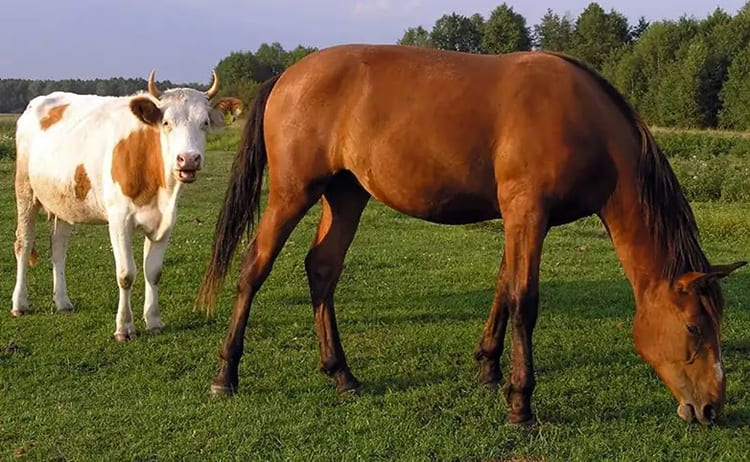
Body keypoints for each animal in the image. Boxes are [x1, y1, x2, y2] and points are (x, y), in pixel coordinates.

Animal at [12, 71, 223, 340]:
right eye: (166, 122)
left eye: (205, 122)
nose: (188, 159)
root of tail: (39, 101)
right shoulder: (119, 221)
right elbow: (126, 274)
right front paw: (124, 327)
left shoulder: (165, 221)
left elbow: (153, 272)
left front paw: (154, 320)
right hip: (25, 190)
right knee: (24, 244)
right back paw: (19, 303)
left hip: (65, 199)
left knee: (58, 247)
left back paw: (62, 301)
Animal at [198, 46, 748, 426]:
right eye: (695, 328)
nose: (711, 409)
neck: (585, 122)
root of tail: (289, 75)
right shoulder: (527, 212)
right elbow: (524, 300)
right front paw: (520, 404)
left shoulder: (520, 218)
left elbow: (503, 290)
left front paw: (488, 370)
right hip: (293, 193)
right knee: (254, 268)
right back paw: (226, 374)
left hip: (346, 192)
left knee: (322, 269)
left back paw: (342, 374)